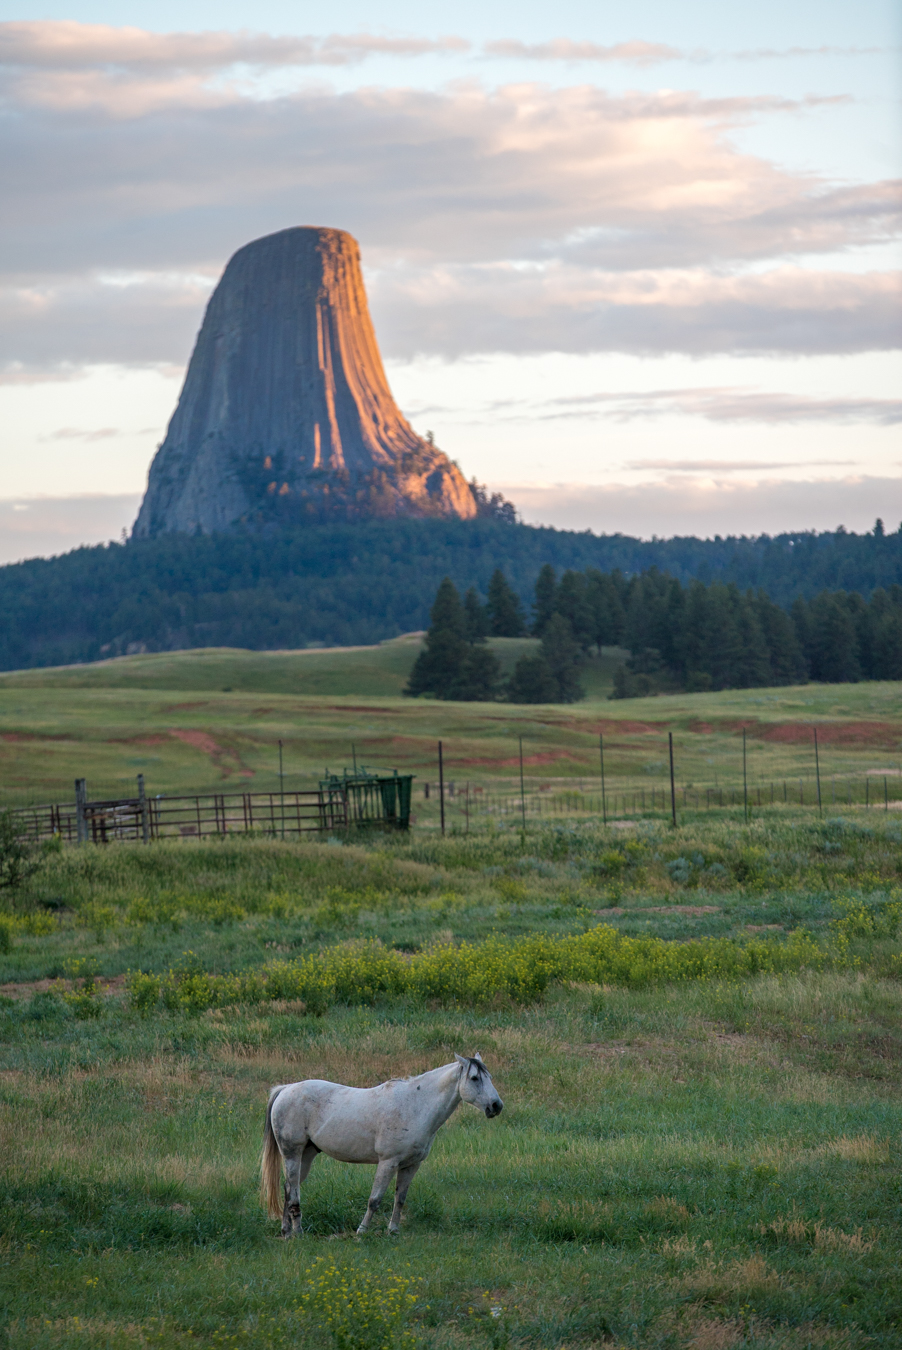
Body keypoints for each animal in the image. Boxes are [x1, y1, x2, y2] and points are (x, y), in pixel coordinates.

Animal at [260, 1053, 505, 1236]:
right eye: (474, 1078)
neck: (415, 1106)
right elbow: (374, 1200)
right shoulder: (388, 1162)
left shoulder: (411, 1165)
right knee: (293, 1193)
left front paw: (393, 1231)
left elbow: (400, 1199)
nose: (496, 1106)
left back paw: (286, 1232)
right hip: (292, 1154)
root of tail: (285, 1089)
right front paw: (361, 1232)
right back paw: (298, 1233)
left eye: (489, 1077)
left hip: (307, 1155)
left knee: (288, 1188)